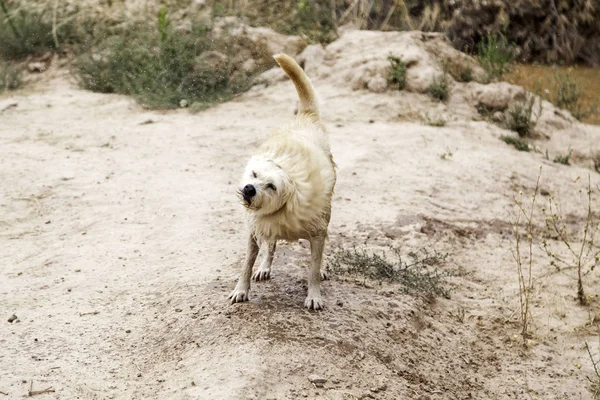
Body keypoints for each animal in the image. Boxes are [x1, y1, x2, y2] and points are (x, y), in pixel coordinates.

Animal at [229, 54, 336, 310]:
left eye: (271, 186)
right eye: (254, 175)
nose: (249, 189)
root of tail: (305, 117)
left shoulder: (317, 232)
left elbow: (313, 268)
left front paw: (314, 294)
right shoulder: (256, 228)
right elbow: (246, 263)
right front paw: (241, 289)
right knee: (271, 245)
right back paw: (265, 267)